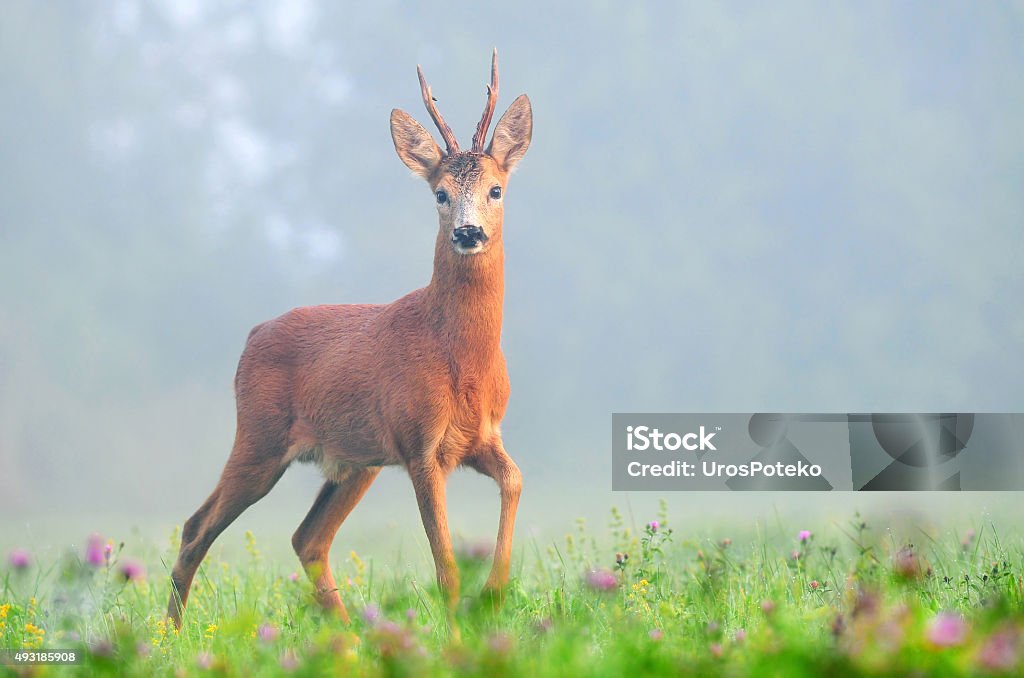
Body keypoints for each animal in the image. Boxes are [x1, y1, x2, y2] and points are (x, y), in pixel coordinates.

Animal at [163, 49, 532, 639]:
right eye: (440, 193)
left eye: (496, 189)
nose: (468, 233)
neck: (461, 360)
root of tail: (252, 334)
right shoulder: (419, 443)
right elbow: (445, 564)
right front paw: (457, 636)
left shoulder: (481, 437)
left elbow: (515, 481)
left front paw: (493, 598)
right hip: (259, 437)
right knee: (197, 526)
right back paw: (170, 638)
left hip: (356, 462)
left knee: (307, 537)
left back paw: (352, 637)